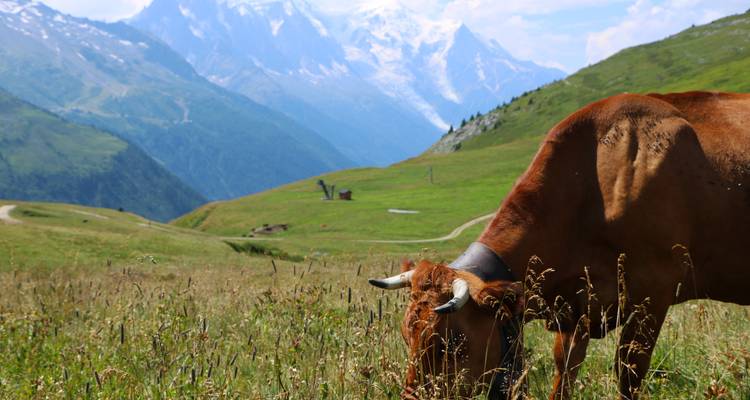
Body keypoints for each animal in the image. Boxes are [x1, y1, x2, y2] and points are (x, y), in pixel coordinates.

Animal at [369, 91, 750, 399]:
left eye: (453, 343)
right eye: (405, 335)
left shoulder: (653, 295)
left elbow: (628, 375)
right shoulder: (574, 309)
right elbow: (563, 373)